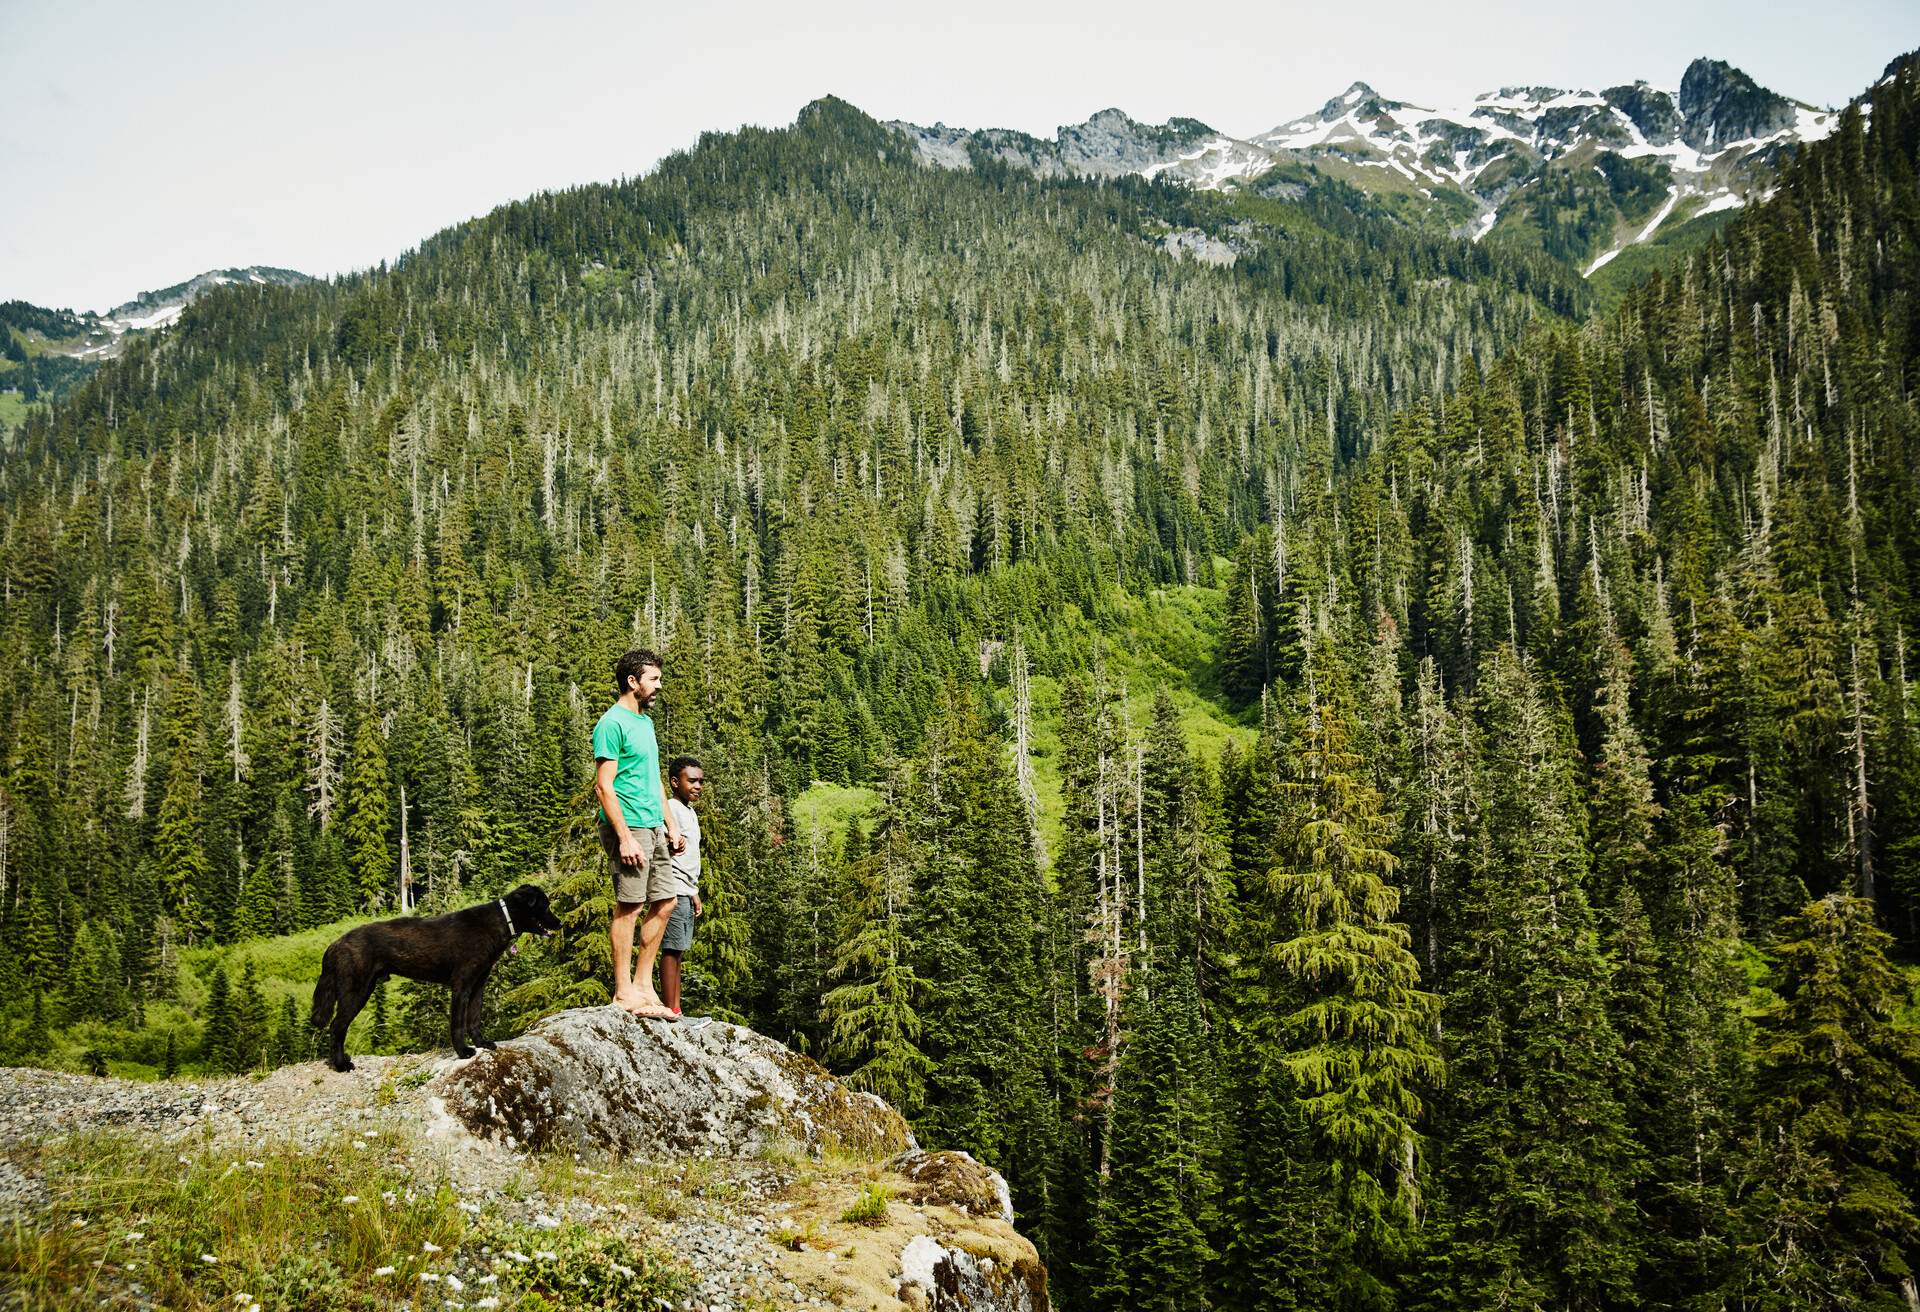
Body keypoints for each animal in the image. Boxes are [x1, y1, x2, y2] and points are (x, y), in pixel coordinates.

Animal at [309, 883, 560, 1075]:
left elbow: (474, 1019)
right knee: (337, 1026)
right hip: (356, 991)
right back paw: (341, 1065)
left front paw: (482, 1044)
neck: (499, 921)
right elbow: (458, 1023)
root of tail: (334, 944)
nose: (560, 923)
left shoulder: (478, 985)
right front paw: (463, 1051)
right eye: (545, 905)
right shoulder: (461, 985)